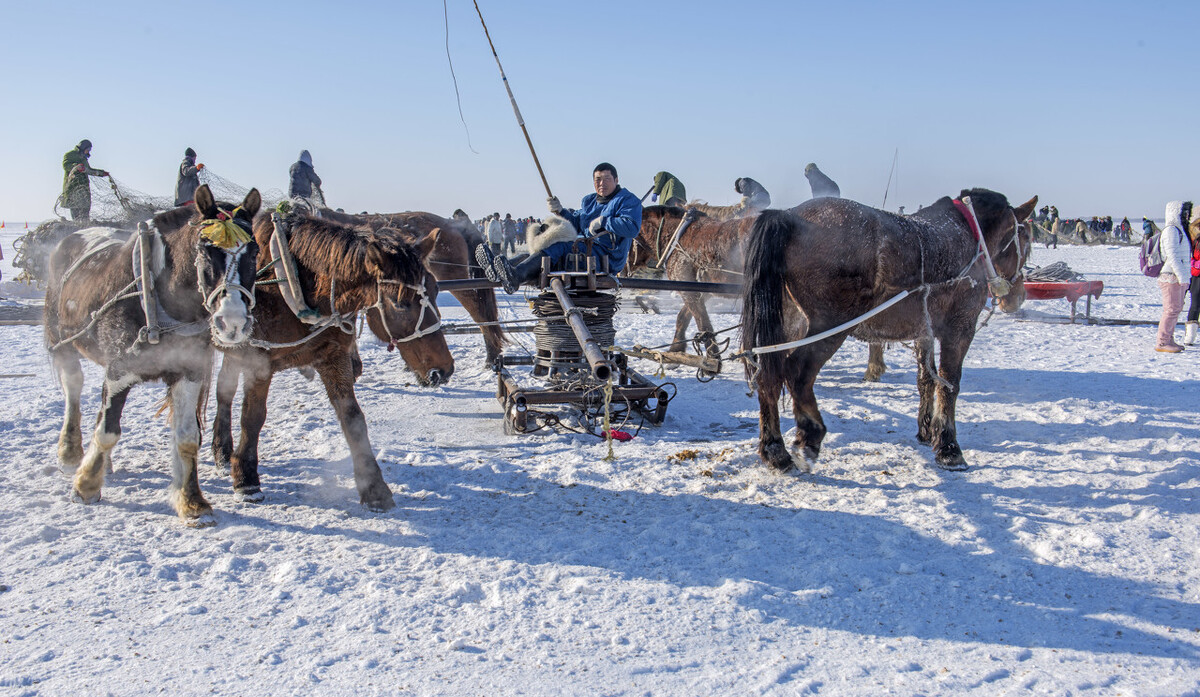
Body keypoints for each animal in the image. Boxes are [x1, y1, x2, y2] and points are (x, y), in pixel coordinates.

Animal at [45, 182, 260, 525]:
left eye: (254, 253)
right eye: (205, 250)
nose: (233, 322)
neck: (159, 301)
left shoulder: (189, 372)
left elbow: (187, 438)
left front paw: (192, 501)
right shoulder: (118, 370)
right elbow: (108, 431)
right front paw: (86, 485)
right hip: (62, 341)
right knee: (73, 388)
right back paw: (70, 452)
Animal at [211, 208, 453, 508]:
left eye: (436, 289)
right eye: (399, 303)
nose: (443, 370)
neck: (296, 284)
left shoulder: (333, 357)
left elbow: (353, 419)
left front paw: (373, 487)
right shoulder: (259, 361)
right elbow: (252, 416)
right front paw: (246, 478)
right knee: (222, 392)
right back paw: (222, 452)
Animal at [624, 205, 753, 359]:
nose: (621, 270)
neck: (676, 239)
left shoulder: (689, 291)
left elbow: (703, 325)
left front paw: (712, 358)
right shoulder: (699, 292)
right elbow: (682, 317)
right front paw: (676, 347)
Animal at [739, 188, 1032, 472]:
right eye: (1025, 240)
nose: (1018, 297)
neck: (968, 234)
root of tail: (789, 216)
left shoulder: (924, 330)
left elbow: (927, 379)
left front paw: (927, 430)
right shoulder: (959, 329)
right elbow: (949, 385)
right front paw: (949, 448)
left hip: (789, 325)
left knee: (769, 375)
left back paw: (774, 450)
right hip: (830, 325)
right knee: (798, 373)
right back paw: (810, 434)